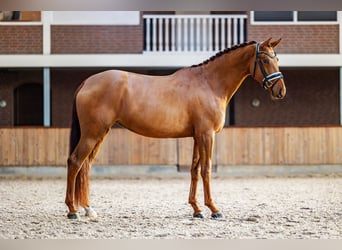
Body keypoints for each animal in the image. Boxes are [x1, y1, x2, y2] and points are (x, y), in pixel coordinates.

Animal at [65, 37, 286, 219]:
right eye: (265, 60)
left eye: (276, 58)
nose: (280, 91)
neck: (209, 83)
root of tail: (87, 82)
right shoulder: (207, 135)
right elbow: (206, 169)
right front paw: (214, 209)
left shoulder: (197, 136)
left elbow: (194, 170)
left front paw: (196, 210)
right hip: (92, 134)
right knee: (75, 162)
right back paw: (72, 210)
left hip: (100, 134)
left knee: (85, 166)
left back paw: (88, 209)